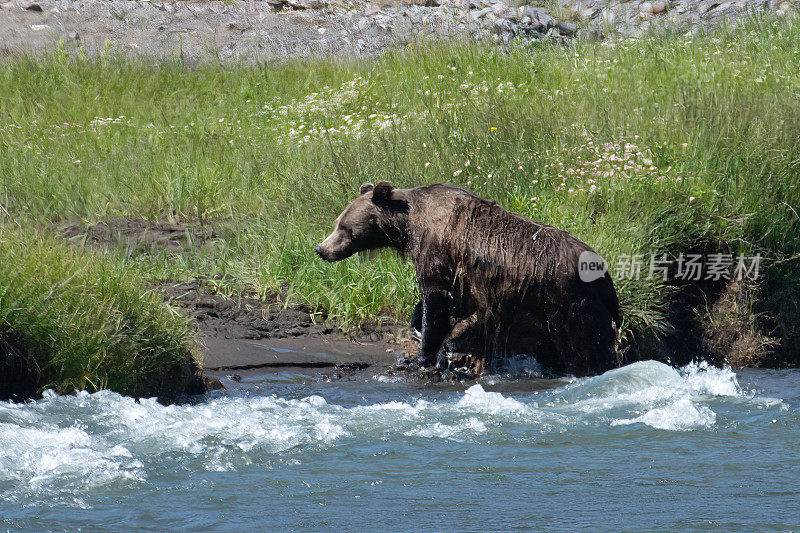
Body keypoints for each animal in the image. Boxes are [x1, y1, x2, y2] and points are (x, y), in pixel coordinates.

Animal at [316, 181, 620, 376]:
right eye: (337, 222)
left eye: (346, 227)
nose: (321, 249)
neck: (409, 226)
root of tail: (605, 273)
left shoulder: (437, 251)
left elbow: (436, 301)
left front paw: (420, 356)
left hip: (569, 303)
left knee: (585, 346)